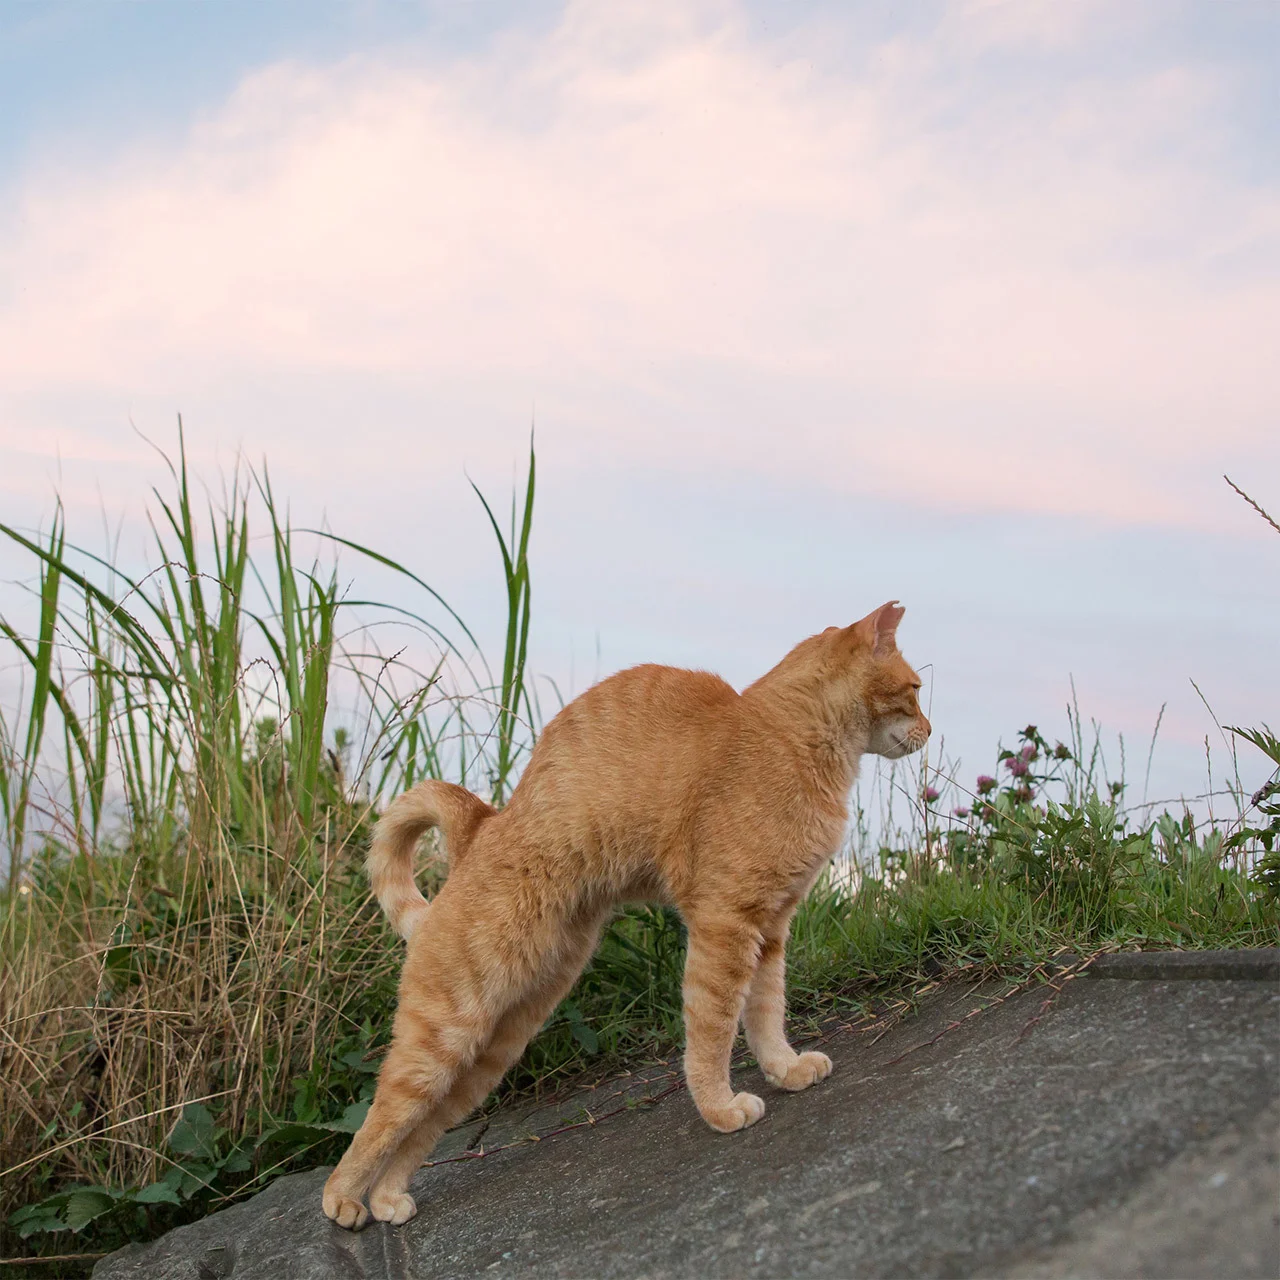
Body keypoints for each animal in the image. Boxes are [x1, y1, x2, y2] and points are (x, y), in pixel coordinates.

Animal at [322, 601, 931, 1228]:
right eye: (915, 690)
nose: (931, 730)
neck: (795, 740)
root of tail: (482, 827)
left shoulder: (771, 927)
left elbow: (766, 1014)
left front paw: (784, 1071)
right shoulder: (725, 925)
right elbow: (713, 1031)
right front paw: (719, 1109)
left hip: (493, 1046)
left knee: (422, 1127)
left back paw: (388, 1196)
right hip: (445, 1034)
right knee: (380, 1117)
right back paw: (342, 1200)